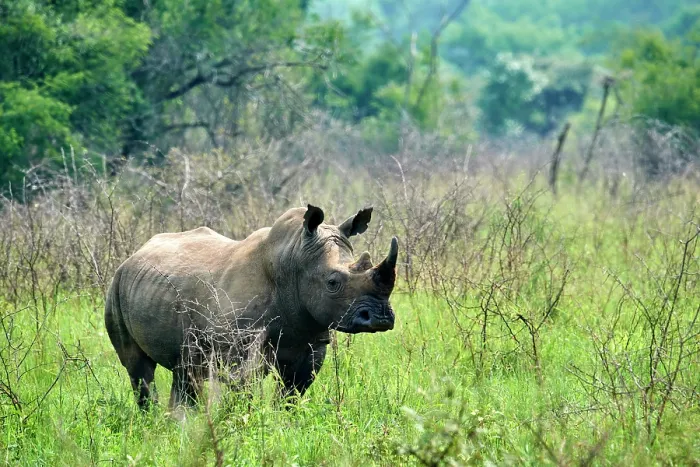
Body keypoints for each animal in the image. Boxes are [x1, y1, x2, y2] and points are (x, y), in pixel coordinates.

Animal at [105, 205, 398, 409]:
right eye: (333, 282)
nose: (381, 318)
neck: (293, 261)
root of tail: (135, 254)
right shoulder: (240, 348)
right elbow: (244, 391)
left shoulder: (312, 341)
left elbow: (291, 395)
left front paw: (283, 426)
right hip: (116, 287)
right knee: (138, 369)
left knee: (185, 369)